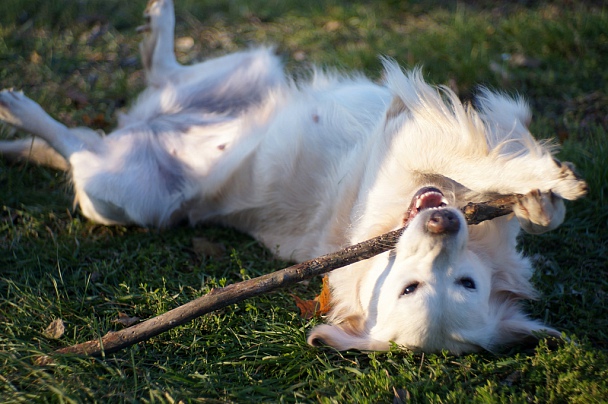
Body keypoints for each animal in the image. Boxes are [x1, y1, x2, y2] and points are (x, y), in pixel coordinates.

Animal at [1, 0, 588, 354]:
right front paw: (543, 183)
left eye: (465, 283)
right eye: (410, 288)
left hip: (159, 151)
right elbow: (483, 159)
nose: (444, 223)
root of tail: (144, 127)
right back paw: (25, 104)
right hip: (129, 180)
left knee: (118, 111)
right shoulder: (410, 141)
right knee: (88, 134)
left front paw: (537, 198)